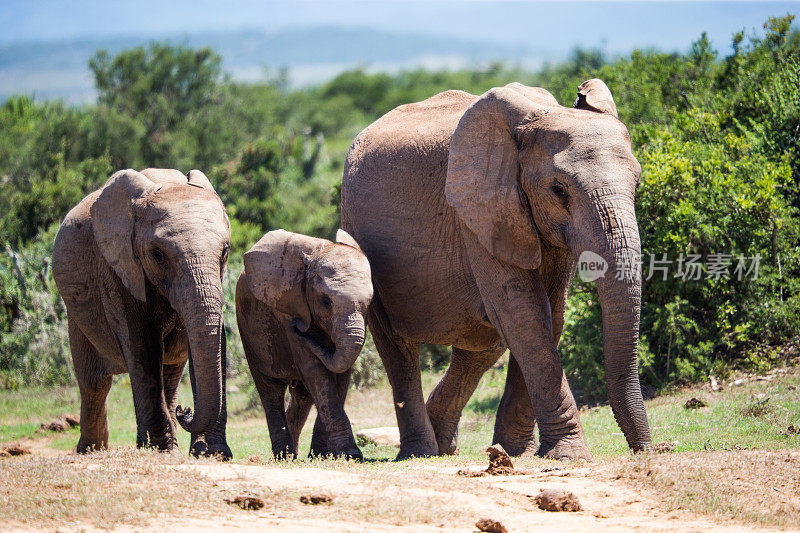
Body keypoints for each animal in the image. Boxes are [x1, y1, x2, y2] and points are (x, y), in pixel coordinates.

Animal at [53, 167, 231, 458]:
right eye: (157, 254)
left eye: (225, 251)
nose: (185, 411)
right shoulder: (117, 268)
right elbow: (142, 346)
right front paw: (159, 449)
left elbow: (215, 343)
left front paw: (212, 454)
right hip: (75, 313)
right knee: (94, 383)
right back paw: (91, 451)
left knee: (168, 375)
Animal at [236, 228, 374, 458]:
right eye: (326, 301)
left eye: (369, 303)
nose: (298, 329)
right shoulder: (288, 307)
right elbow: (316, 371)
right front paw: (350, 454)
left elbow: (340, 374)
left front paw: (327, 456)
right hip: (249, 333)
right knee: (270, 389)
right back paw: (283, 456)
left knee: (302, 396)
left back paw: (295, 453)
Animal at [340, 80, 652, 462]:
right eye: (558, 189)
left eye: (637, 184)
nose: (649, 449)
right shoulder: (477, 214)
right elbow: (525, 315)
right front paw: (569, 456)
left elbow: (549, 315)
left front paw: (518, 452)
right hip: (357, 232)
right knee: (399, 350)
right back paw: (420, 452)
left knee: (482, 344)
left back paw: (446, 444)